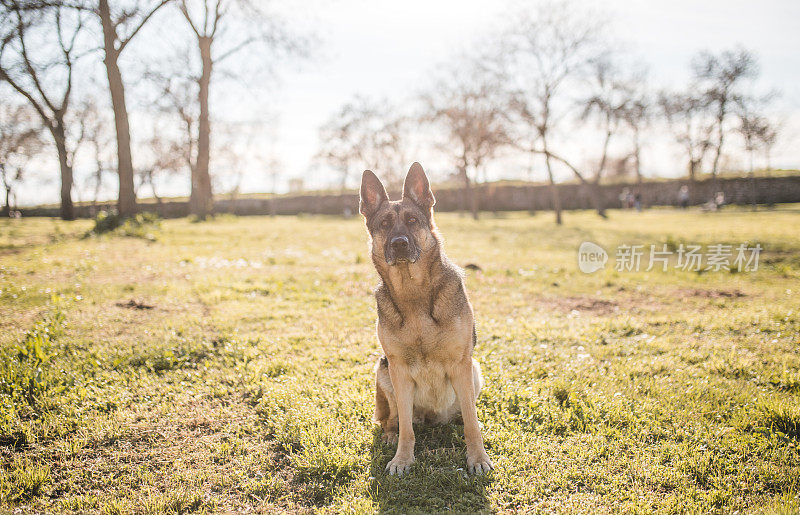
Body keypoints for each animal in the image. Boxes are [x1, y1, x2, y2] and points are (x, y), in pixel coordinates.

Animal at [358, 163, 494, 478]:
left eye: (412, 220)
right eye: (384, 224)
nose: (399, 244)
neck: (414, 294)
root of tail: (434, 418)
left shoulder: (461, 364)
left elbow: (471, 423)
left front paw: (477, 458)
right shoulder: (398, 369)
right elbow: (407, 428)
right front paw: (402, 459)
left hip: (474, 371)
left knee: (466, 414)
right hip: (383, 371)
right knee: (393, 419)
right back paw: (390, 435)